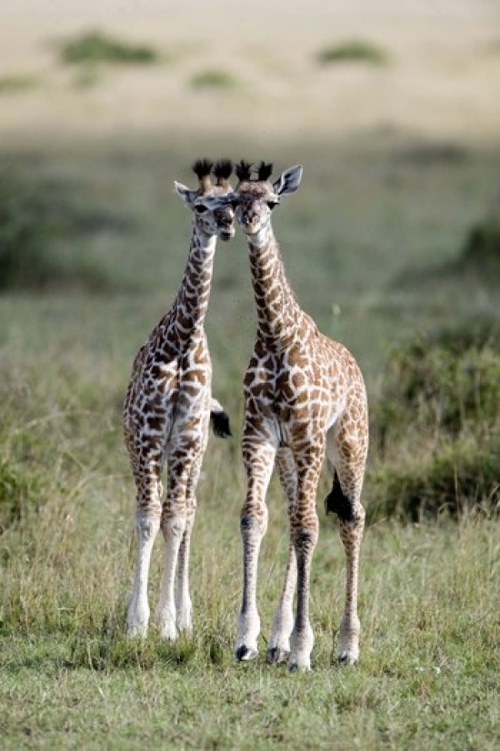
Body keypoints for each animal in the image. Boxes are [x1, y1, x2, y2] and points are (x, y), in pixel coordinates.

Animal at [206, 162, 368, 672]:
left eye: (272, 201)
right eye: (235, 199)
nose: (250, 221)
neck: (276, 337)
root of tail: (355, 367)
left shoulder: (310, 436)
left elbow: (306, 529)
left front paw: (302, 648)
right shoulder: (259, 435)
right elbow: (254, 518)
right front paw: (249, 639)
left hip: (348, 443)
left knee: (351, 517)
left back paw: (346, 646)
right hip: (291, 458)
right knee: (301, 515)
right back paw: (279, 641)